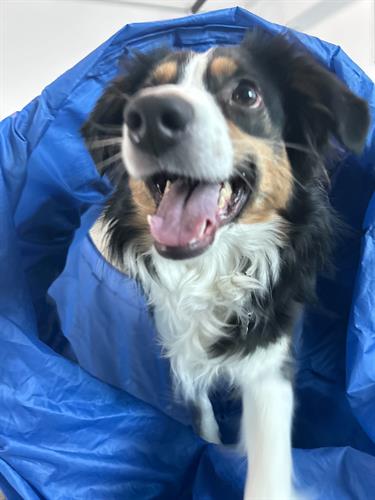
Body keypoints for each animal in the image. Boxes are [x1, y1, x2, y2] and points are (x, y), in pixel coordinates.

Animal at [81, 31, 370, 500]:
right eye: (144, 93)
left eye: (246, 94)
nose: (150, 116)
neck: (210, 269)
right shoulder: (178, 343)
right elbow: (201, 409)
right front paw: (209, 448)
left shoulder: (270, 355)